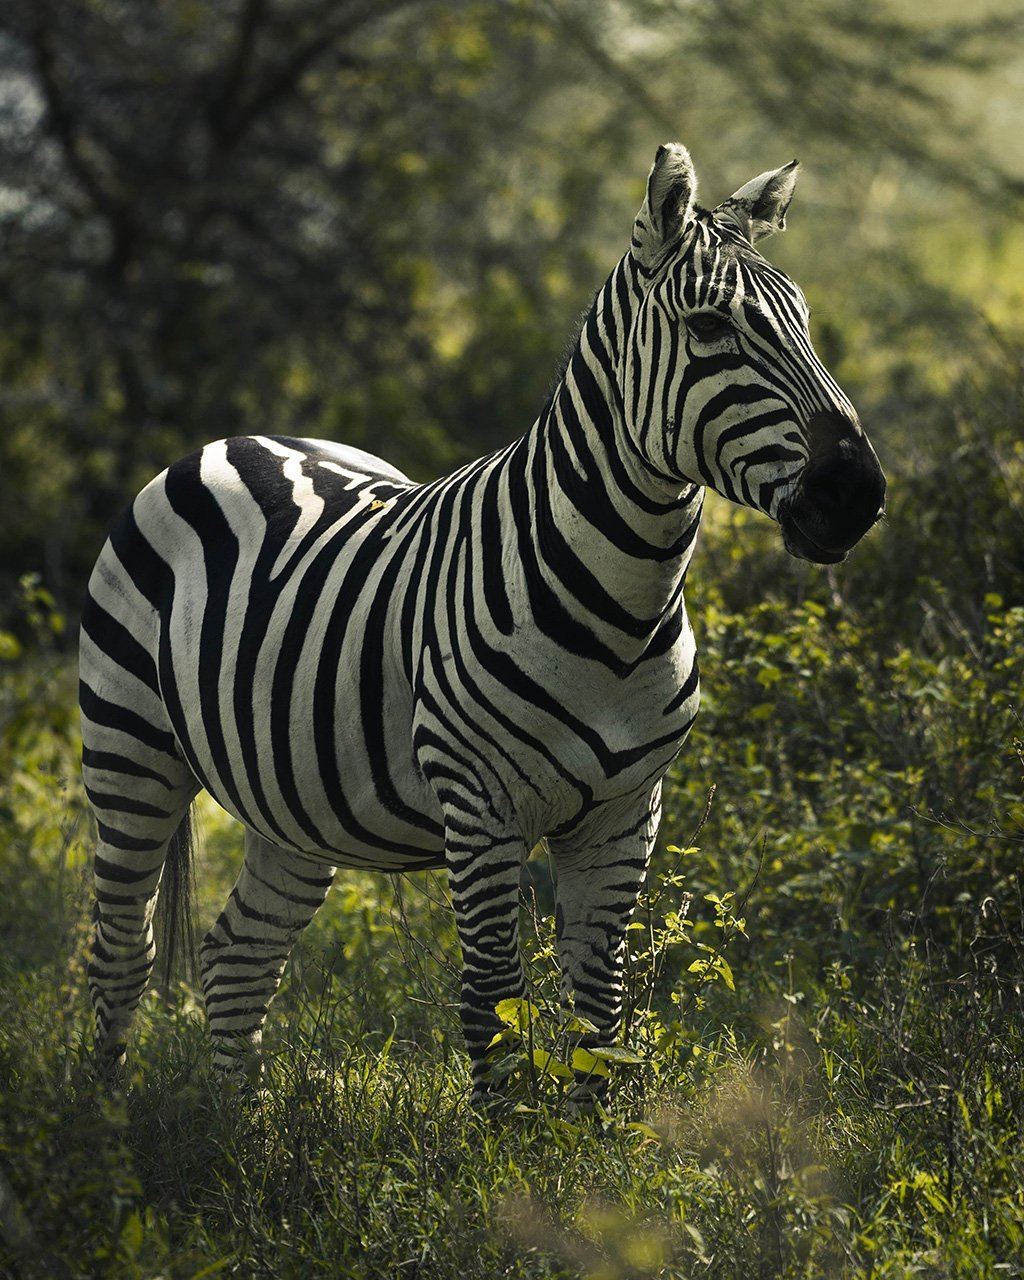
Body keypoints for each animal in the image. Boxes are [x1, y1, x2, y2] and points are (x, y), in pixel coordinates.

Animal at [80, 143, 885, 1105]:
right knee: (120, 953)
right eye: (708, 328)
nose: (857, 493)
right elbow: (494, 998)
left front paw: (594, 1136)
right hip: (129, 747)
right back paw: (107, 1128)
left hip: (292, 799)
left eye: (804, 321)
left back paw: (232, 1127)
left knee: (241, 953)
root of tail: (235, 441)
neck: (621, 611)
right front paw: (510, 1141)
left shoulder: (628, 811)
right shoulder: (479, 806)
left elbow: (601, 1006)